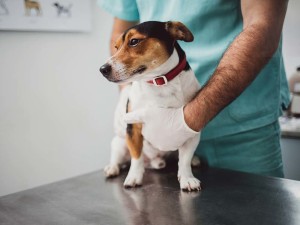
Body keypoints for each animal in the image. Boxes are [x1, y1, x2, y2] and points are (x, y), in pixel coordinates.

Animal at [101, 20, 202, 192]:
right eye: (116, 47)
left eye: (134, 41)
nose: (102, 69)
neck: (159, 82)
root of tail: (154, 162)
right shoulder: (133, 127)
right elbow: (136, 157)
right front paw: (134, 178)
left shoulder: (190, 131)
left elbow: (185, 160)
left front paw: (187, 178)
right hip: (119, 143)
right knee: (118, 158)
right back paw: (112, 168)